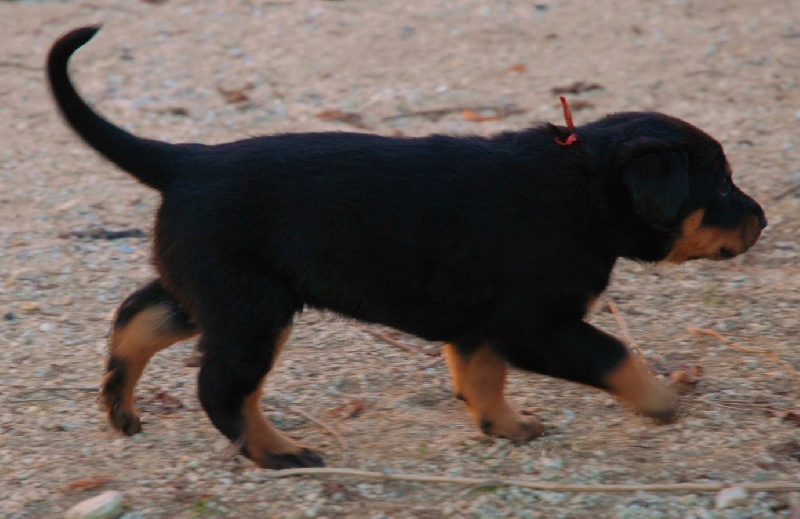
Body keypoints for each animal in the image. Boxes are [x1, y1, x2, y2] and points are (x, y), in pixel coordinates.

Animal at [48, 26, 766, 470]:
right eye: (722, 185)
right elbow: (616, 355)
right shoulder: (537, 325)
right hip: (254, 310)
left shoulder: (482, 324)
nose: (762, 220)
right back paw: (279, 453)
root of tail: (186, 163)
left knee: (138, 317)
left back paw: (121, 407)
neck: (584, 187)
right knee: (222, 388)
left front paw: (504, 427)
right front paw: (661, 401)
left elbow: (480, 376)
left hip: (212, 291)